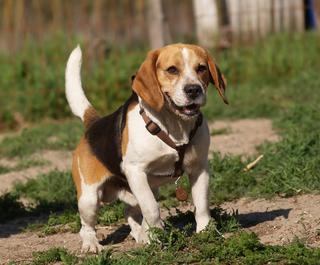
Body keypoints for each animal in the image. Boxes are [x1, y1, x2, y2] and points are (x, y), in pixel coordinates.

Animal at [65, 43, 226, 252]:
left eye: (201, 68)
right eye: (172, 70)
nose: (193, 90)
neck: (174, 126)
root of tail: (94, 123)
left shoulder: (199, 169)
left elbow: (202, 204)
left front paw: (206, 232)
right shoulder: (136, 172)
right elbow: (151, 208)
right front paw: (157, 235)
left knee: (130, 212)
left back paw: (141, 234)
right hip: (89, 199)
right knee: (86, 226)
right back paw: (92, 244)